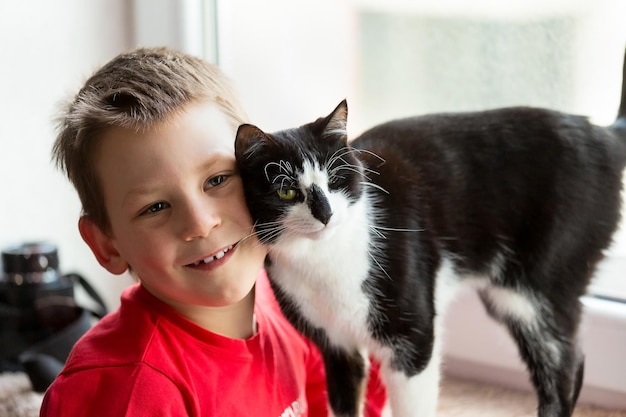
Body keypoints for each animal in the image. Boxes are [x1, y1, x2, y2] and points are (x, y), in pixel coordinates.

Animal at [233, 54, 624, 416]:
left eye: (336, 179)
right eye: (286, 191)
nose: (326, 213)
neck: (323, 260)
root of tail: (605, 133)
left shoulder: (412, 339)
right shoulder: (336, 345)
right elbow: (343, 402)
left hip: (536, 286)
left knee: (563, 366)